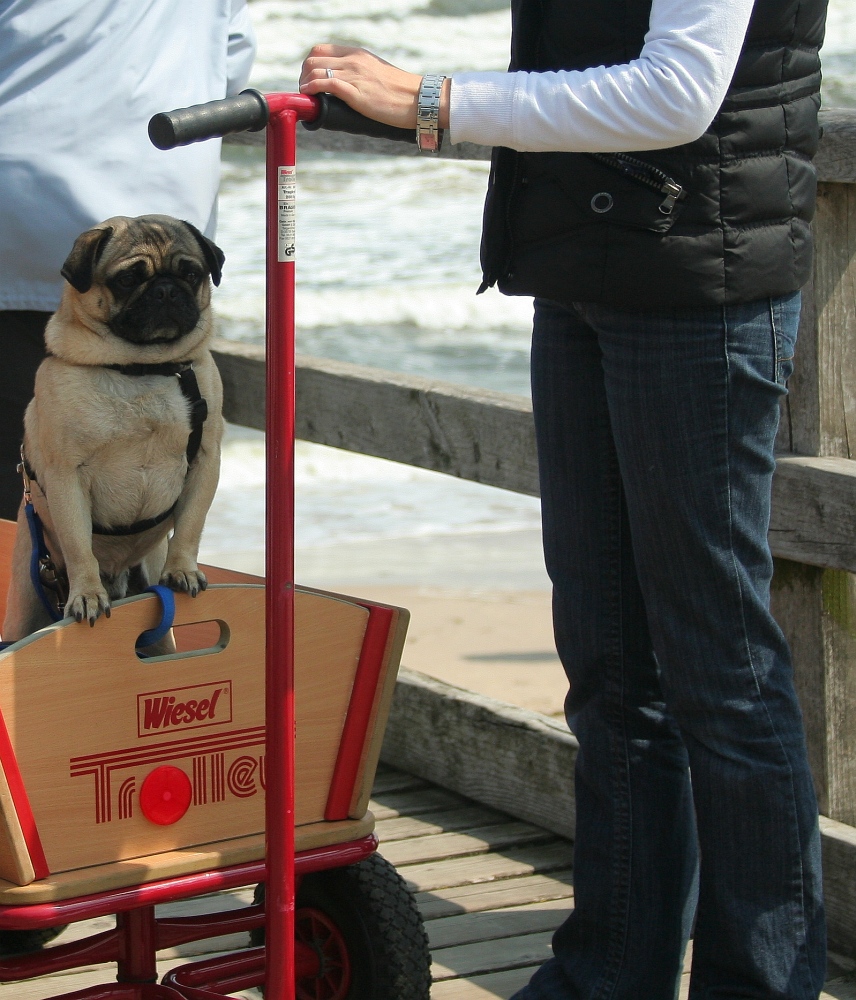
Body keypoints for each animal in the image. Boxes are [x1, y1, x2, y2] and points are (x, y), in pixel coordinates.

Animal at [0, 215, 226, 644]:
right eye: (127, 279)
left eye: (191, 274)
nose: (166, 290)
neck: (140, 368)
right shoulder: (66, 478)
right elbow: (79, 545)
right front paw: (87, 593)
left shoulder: (206, 461)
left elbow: (191, 524)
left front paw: (183, 568)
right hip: (26, 598)